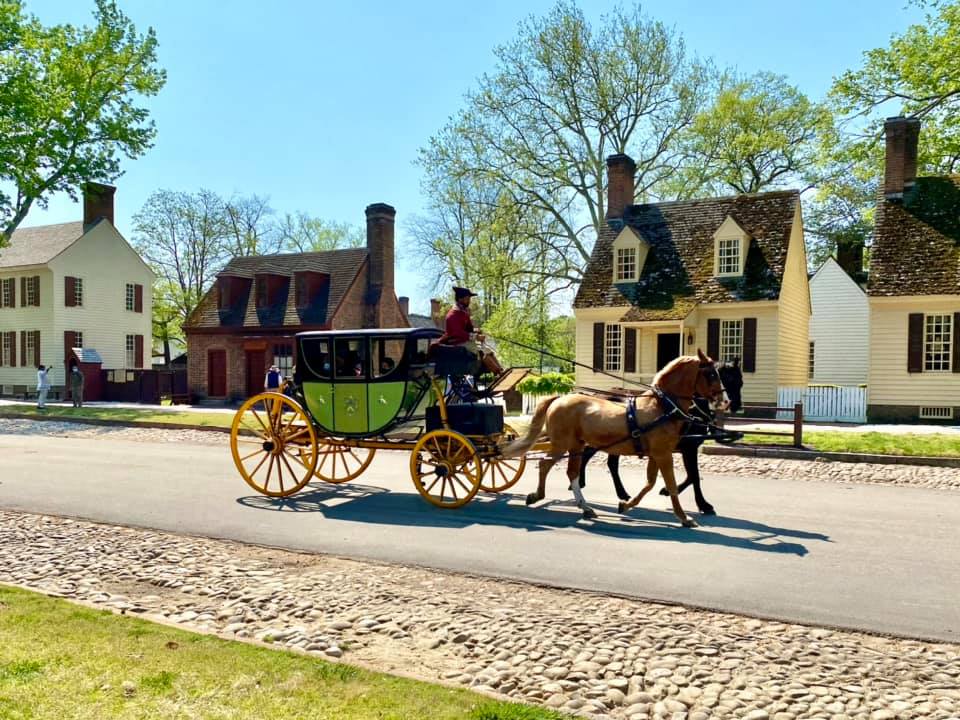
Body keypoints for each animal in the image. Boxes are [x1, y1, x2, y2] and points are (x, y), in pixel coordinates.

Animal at [506, 350, 724, 524]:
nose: (724, 400)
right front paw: (685, 517)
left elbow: (650, 483)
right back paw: (537, 495)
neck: (662, 407)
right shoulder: (664, 454)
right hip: (562, 444)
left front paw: (626, 504)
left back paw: (585, 507)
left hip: (576, 445)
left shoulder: (658, 454)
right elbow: (671, 484)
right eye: (711, 374)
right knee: (544, 464)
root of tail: (560, 397)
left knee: (572, 472)